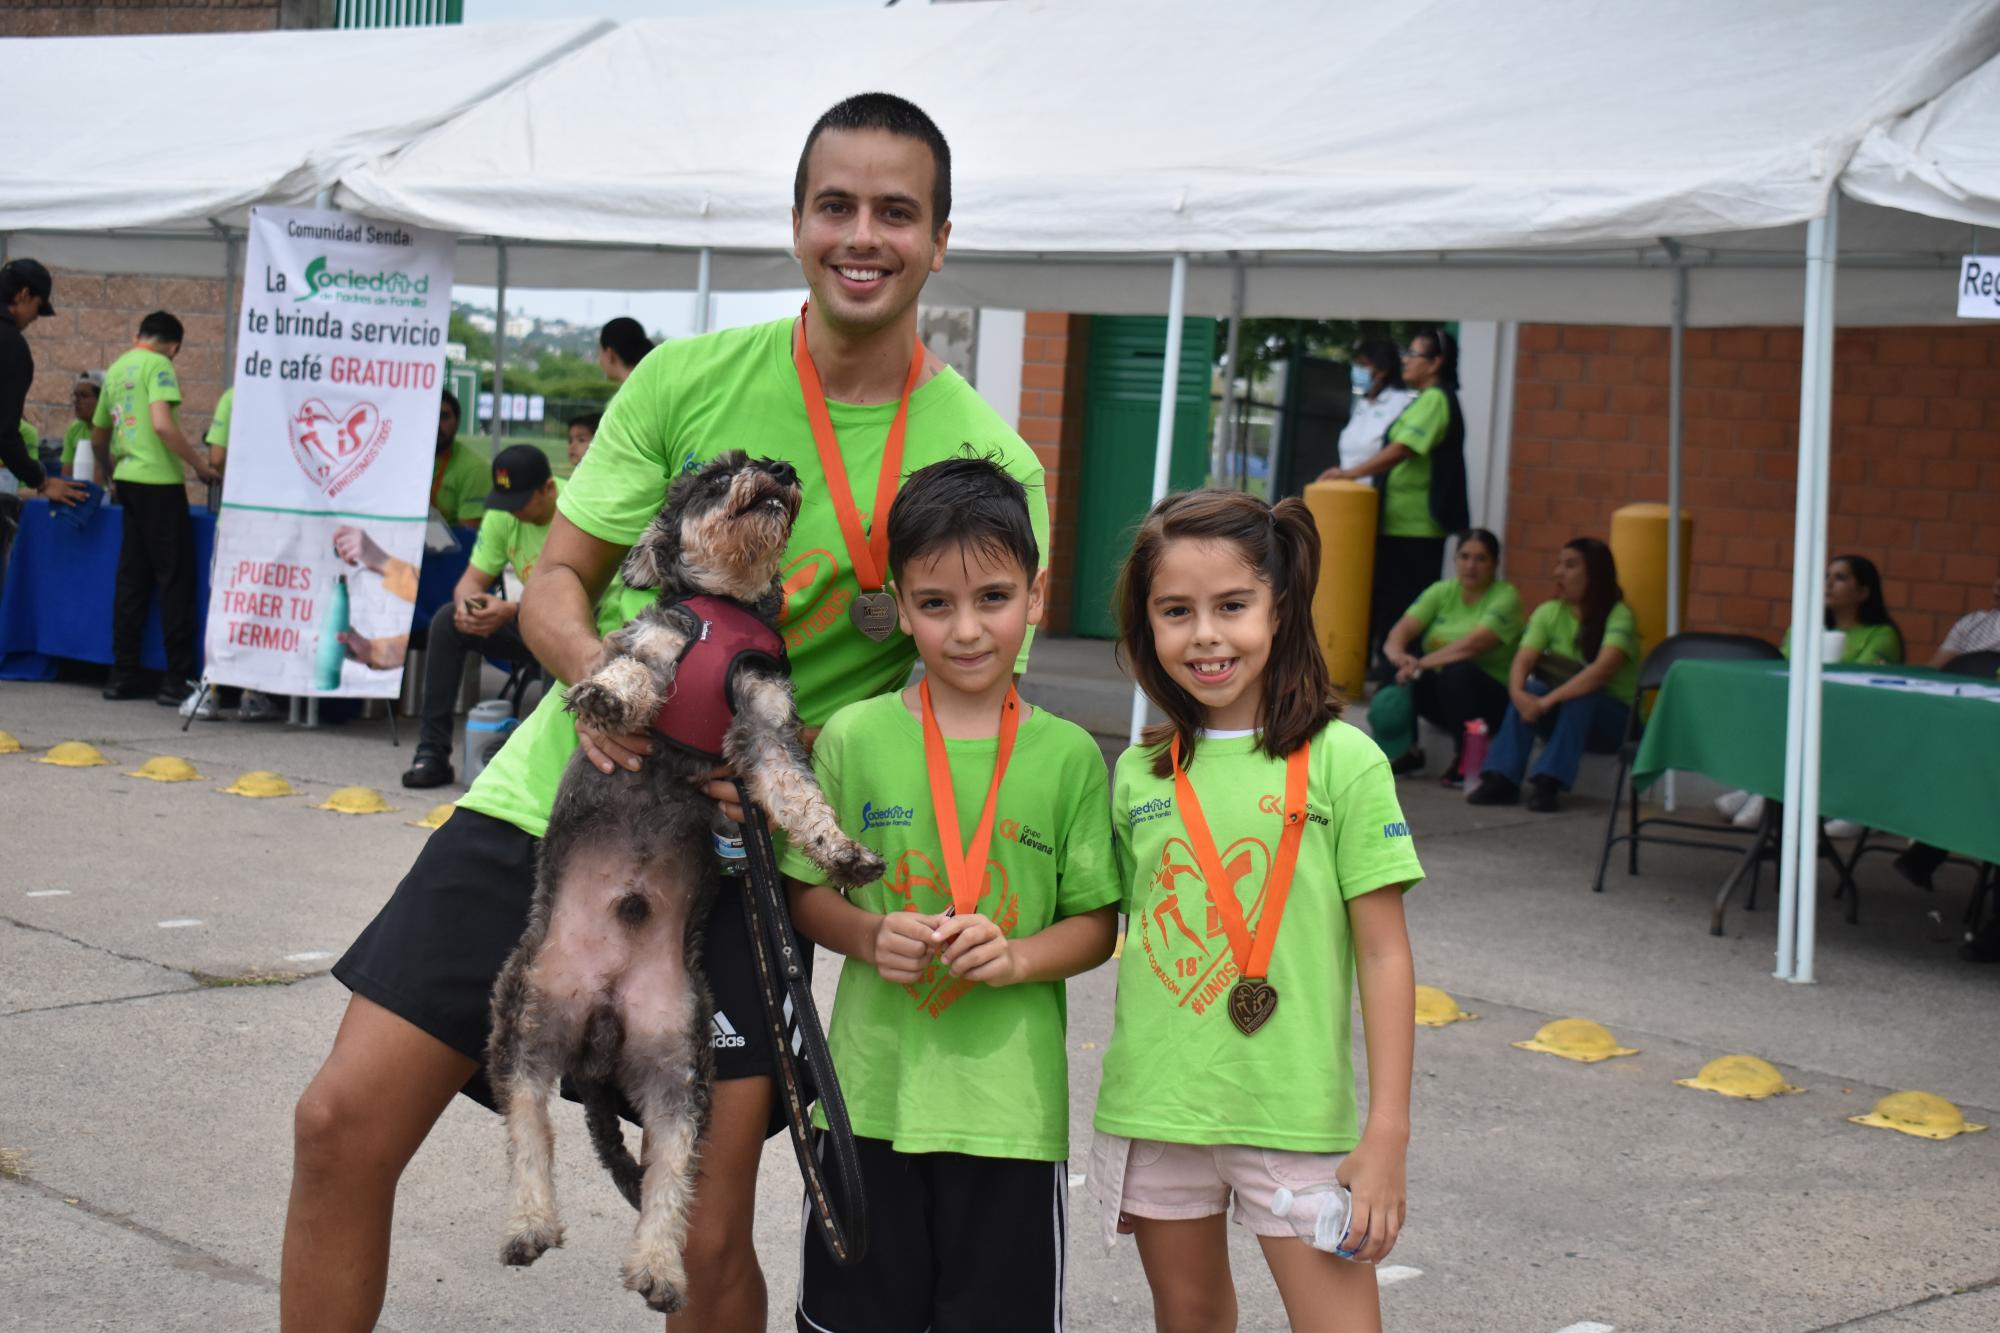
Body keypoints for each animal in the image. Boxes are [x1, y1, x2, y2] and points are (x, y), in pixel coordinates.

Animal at [484, 446, 884, 1304]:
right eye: (715, 475)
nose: (779, 466)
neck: (726, 607)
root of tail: (600, 1027)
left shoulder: (763, 724)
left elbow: (797, 795)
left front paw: (843, 853)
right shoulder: (659, 637)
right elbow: (635, 672)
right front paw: (604, 701)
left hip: (678, 1067)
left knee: (670, 1169)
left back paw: (658, 1265)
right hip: (525, 1022)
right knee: (529, 1126)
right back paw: (529, 1221)